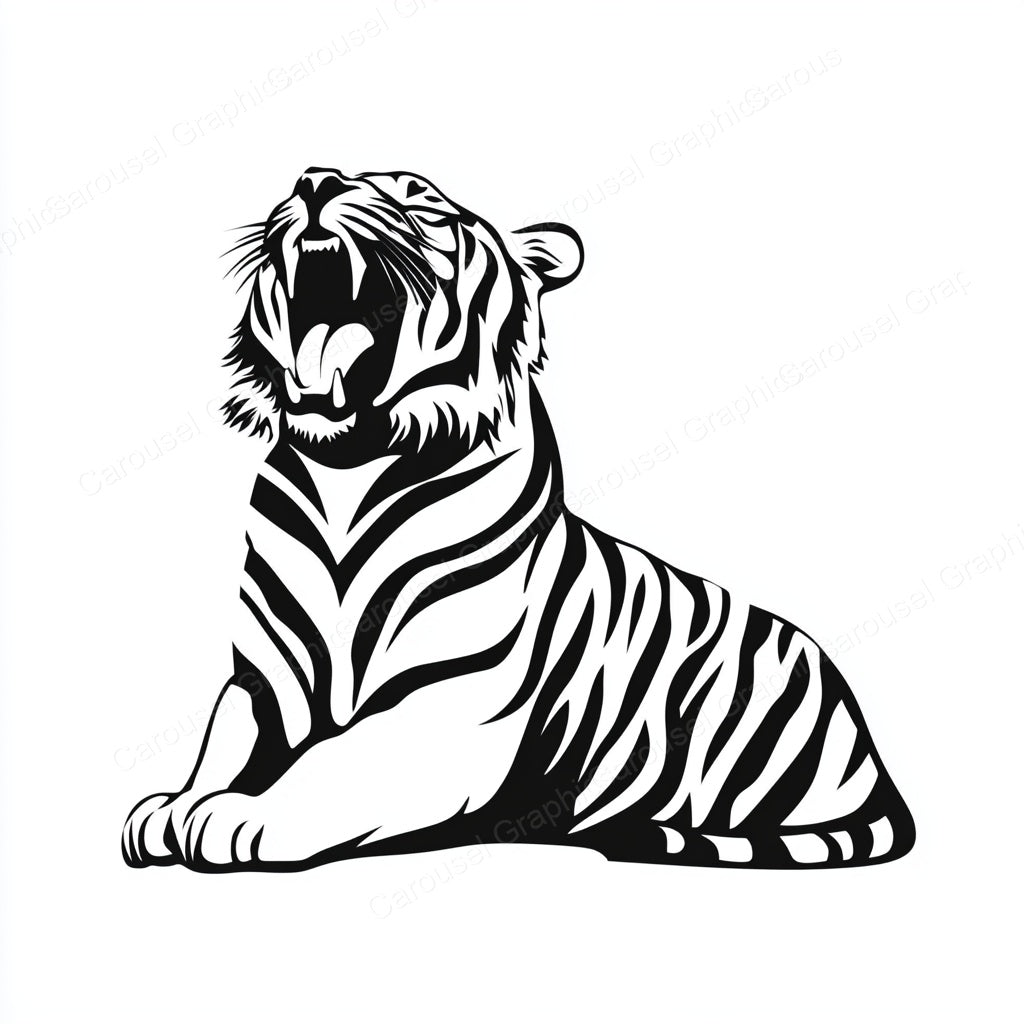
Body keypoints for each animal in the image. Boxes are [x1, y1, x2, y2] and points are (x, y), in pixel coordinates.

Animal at [122, 166, 915, 872]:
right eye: (305, 180)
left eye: (418, 198)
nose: (314, 184)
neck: (345, 469)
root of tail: (868, 742)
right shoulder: (260, 680)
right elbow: (223, 747)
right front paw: (172, 808)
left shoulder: (449, 704)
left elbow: (331, 762)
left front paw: (239, 817)